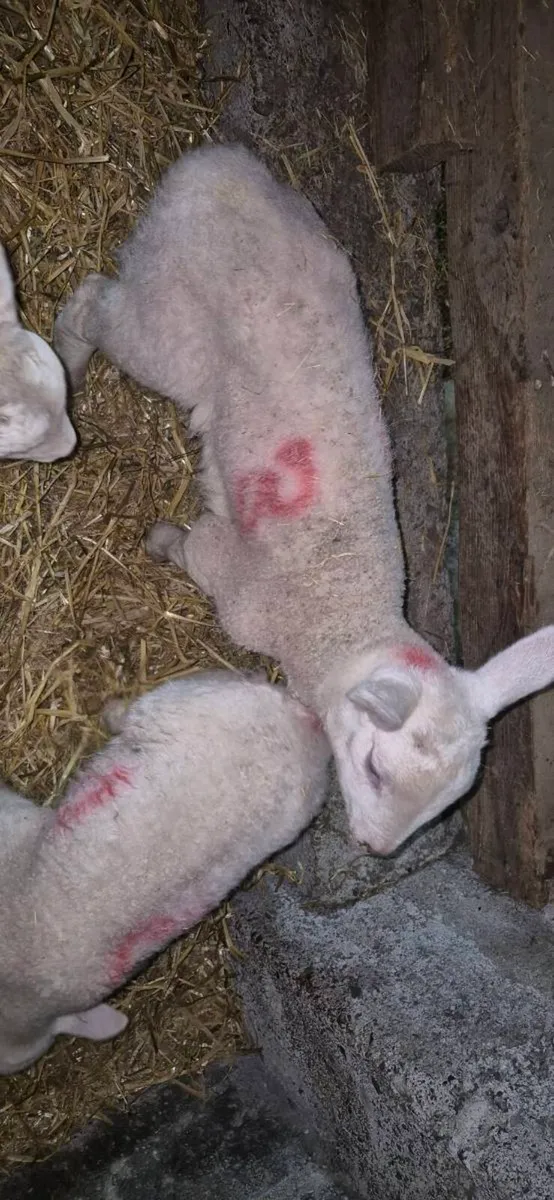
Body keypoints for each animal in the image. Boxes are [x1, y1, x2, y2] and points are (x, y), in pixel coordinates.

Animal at [53, 142, 554, 856]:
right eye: (373, 768)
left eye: (442, 807)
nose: (377, 850)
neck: (339, 612)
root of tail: (221, 167)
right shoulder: (233, 580)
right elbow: (194, 546)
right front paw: (160, 541)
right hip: (170, 323)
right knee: (93, 303)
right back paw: (67, 366)